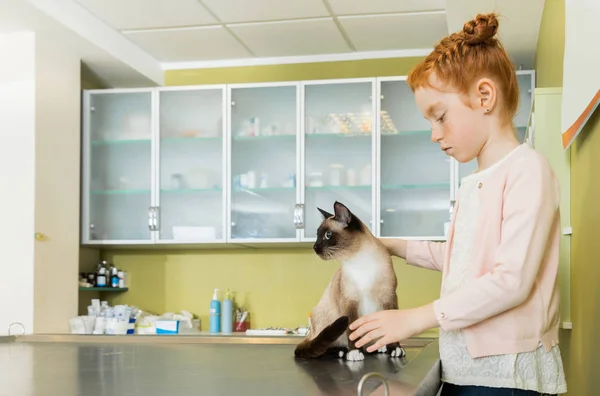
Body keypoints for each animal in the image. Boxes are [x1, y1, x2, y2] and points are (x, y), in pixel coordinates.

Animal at [294, 203, 406, 360]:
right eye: (317, 235)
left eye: (328, 235)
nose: (315, 247)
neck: (358, 260)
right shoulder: (350, 302)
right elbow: (352, 332)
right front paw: (354, 352)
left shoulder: (388, 298)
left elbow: (391, 329)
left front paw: (395, 348)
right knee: (320, 347)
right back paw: (343, 351)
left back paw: (379, 348)